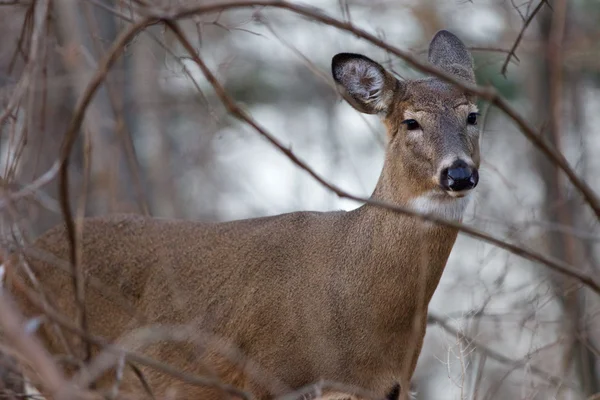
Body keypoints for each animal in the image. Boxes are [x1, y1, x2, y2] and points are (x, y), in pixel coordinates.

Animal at [0, 30, 480, 400]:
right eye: (410, 122)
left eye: (473, 115)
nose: (459, 172)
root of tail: (17, 262)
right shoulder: (268, 375)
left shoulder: (388, 388)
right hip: (58, 355)